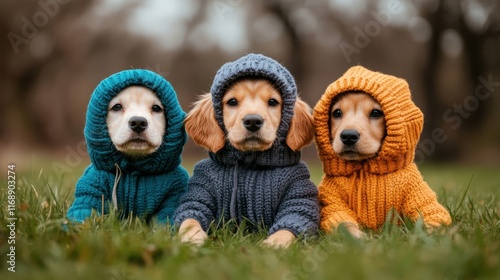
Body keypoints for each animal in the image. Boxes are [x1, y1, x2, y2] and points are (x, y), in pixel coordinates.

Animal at [67, 70, 188, 225]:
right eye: (117, 107)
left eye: (156, 108)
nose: (138, 122)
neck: (133, 168)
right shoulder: (92, 188)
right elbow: (84, 211)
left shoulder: (174, 192)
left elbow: (165, 220)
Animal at [174, 52, 318, 247]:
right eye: (232, 102)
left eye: (273, 102)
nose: (253, 121)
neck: (249, 162)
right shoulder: (199, 192)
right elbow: (190, 217)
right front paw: (193, 237)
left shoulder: (298, 195)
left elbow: (290, 224)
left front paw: (273, 244)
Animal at [314, 65, 452, 236]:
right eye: (337, 113)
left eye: (376, 113)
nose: (348, 136)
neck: (364, 167)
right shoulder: (332, 201)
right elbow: (342, 221)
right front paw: (360, 238)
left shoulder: (417, 191)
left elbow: (432, 214)